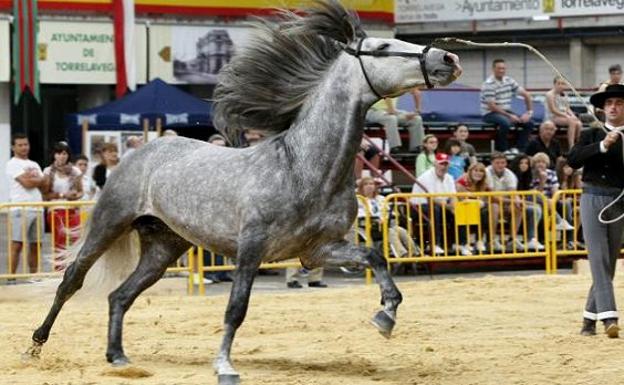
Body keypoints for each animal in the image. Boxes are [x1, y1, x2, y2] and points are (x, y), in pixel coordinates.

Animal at [29, 1, 460, 382]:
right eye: (383, 48)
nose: (448, 59)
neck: (303, 168)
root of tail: (145, 148)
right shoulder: (252, 247)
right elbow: (236, 307)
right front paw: (224, 366)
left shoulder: (317, 250)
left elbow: (375, 256)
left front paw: (385, 316)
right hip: (111, 222)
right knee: (73, 279)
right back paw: (35, 345)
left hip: (164, 246)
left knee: (119, 296)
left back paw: (117, 357)